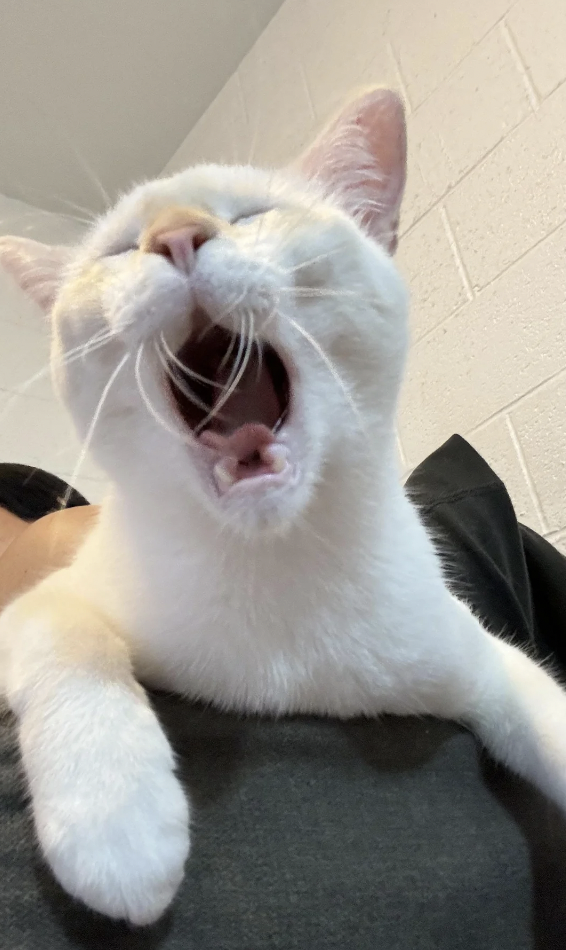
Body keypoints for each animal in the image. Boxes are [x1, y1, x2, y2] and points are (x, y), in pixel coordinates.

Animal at [1, 91, 566, 928]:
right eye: (116, 251)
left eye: (252, 214)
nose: (174, 236)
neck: (273, 561)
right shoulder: (42, 605)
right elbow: (68, 637)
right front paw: (116, 820)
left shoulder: (476, 655)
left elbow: (546, 712)